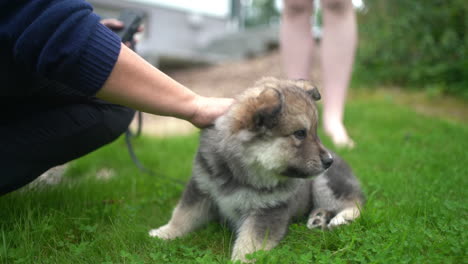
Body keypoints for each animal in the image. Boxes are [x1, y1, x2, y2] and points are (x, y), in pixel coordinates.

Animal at [150, 76, 366, 262]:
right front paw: (163, 233)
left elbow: (249, 242)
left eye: (314, 132)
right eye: (300, 133)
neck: (240, 173)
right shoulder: (201, 189)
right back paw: (319, 218)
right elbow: (182, 215)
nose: (328, 160)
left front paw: (239, 260)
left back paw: (340, 218)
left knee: (354, 203)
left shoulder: (267, 211)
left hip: (325, 183)